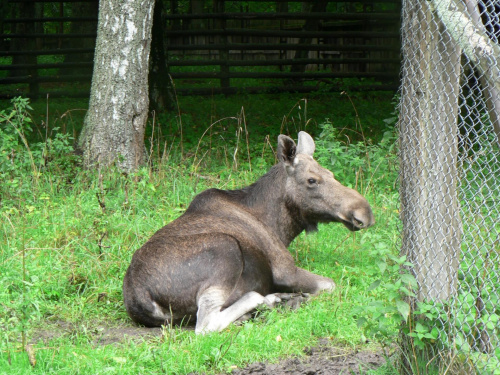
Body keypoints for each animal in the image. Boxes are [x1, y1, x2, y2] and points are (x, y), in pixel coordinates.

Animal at [124, 132, 376, 334]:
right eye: (312, 180)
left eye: (332, 174)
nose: (365, 212)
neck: (280, 226)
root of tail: (141, 299)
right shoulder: (286, 270)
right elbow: (330, 285)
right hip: (225, 249)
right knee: (205, 325)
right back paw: (270, 299)